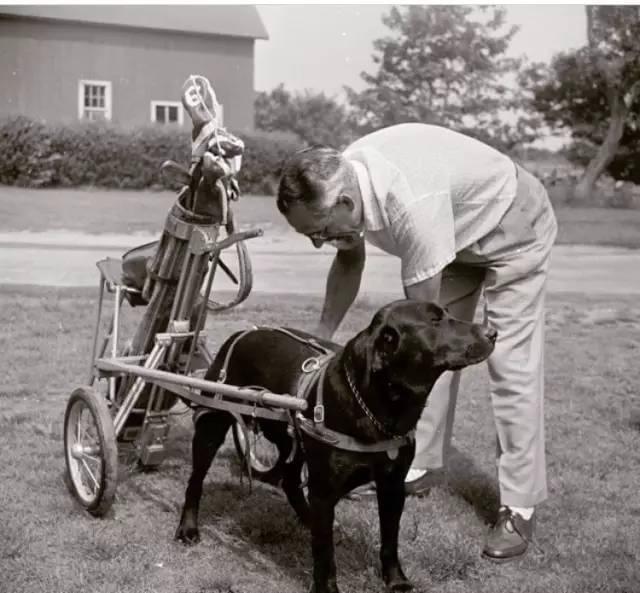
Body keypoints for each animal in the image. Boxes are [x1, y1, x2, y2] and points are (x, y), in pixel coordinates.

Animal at [178, 300, 498, 592]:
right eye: (435, 321)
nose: (493, 332)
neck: (379, 407)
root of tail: (243, 332)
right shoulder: (325, 489)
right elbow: (325, 554)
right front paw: (327, 587)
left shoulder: (393, 486)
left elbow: (390, 539)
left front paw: (396, 580)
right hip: (212, 423)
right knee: (196, 481)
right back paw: (187, 529)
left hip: (290, 437)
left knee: (290, 480)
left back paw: (309, 519)